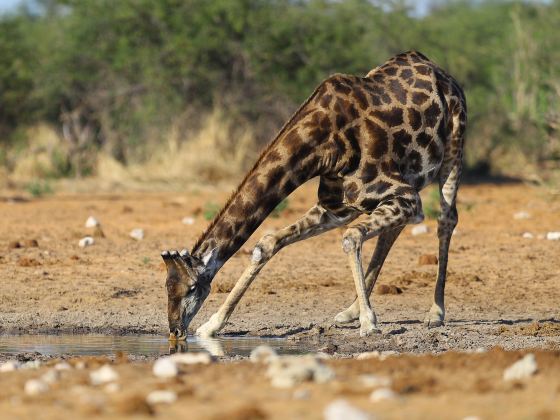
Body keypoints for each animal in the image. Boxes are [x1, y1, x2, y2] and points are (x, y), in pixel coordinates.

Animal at [163, 50, 468, 338]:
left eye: (192, 287)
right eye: (167, 286)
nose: (175, 329)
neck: (322, 146)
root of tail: (441, 72)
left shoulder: (404, 195)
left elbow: (351, 237)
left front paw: (369, 322)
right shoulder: (338, 208)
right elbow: (267, 243)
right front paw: (212, 325)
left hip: (453, 147)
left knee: (446, 218)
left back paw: (435, 312)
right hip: (406, 181)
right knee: (393, 230)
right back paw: (350, 311)